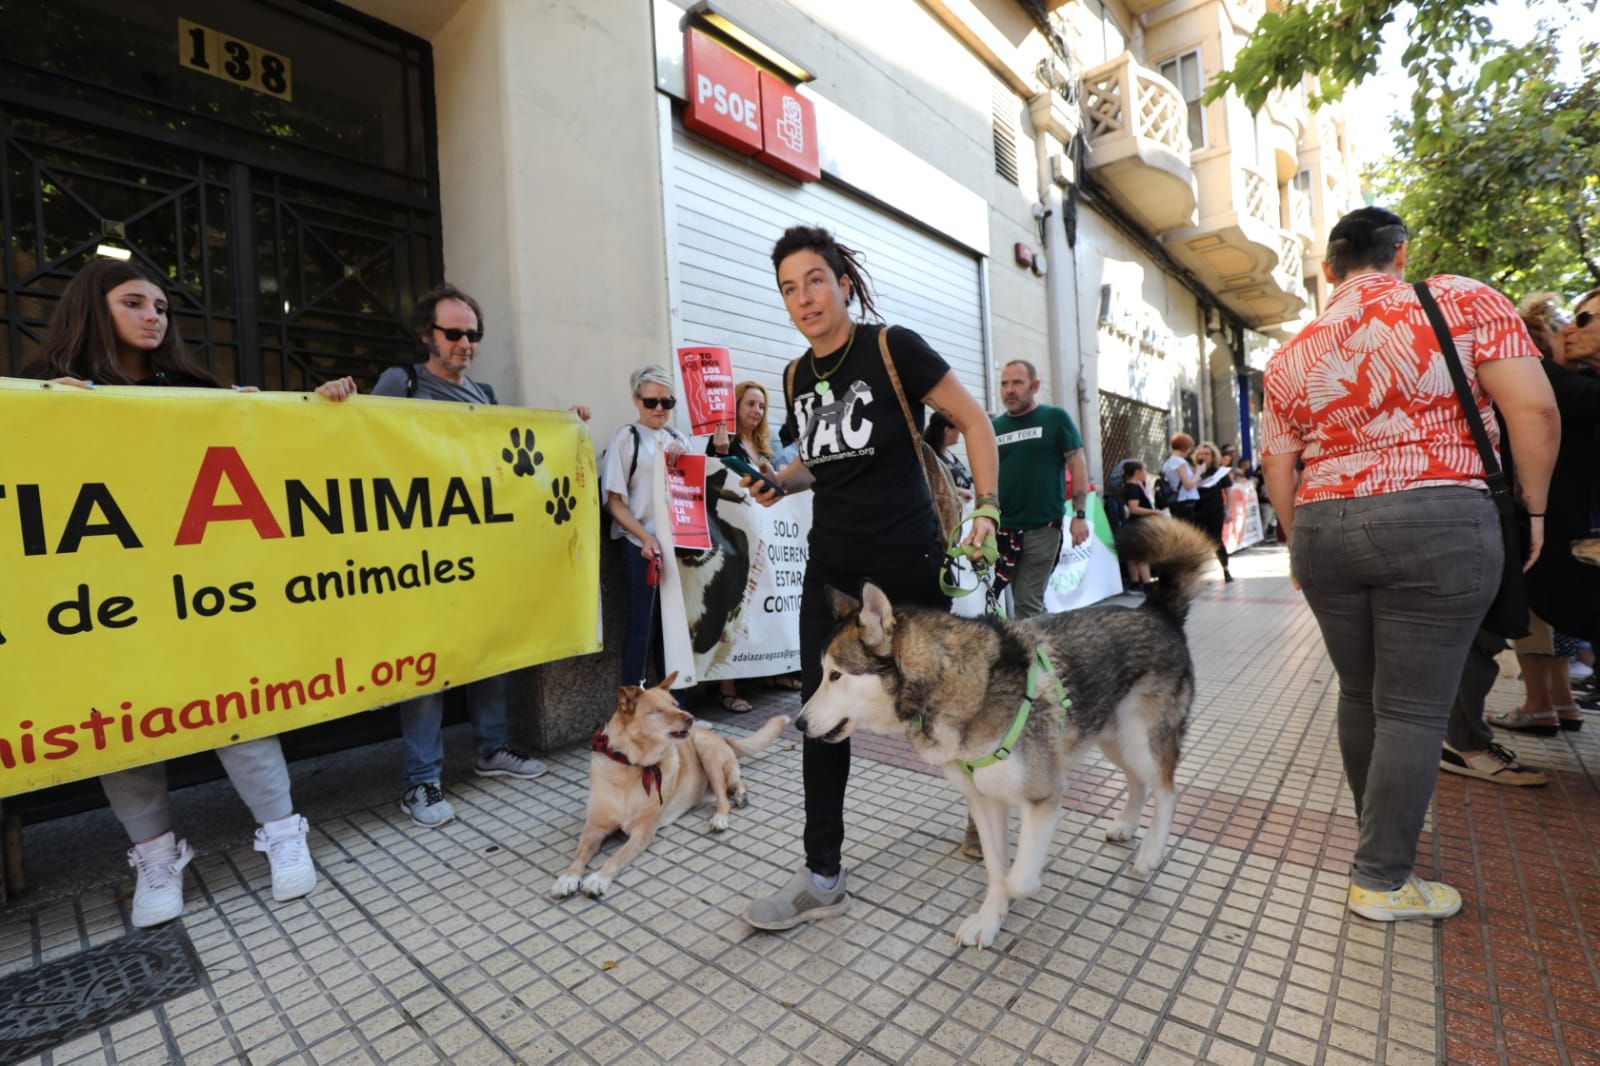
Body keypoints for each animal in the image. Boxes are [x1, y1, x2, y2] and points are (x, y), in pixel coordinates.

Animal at [550, 672, 787, 896]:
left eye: (675, 704)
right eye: (657, 711)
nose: (691, 718)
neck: (630, 767)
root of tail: (718, 736)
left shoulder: (642, 831)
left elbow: (617, 856)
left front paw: (598, 879)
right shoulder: (594, 827)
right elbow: (579, 854)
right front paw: (568, 878)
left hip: (707, 753)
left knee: (726, 794)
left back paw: (722, 815)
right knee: (737, 782)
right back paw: (740, 795)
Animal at [800, 518, 1209, 941]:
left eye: (836, 675)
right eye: (822, 674)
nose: (799, 723)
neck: (961, 685)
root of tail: (1156, 610)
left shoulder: (1042, 796)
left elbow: (1018, 879)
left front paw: (1015, 896)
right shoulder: (984, 801)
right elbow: (996, 870)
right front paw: (989, 920)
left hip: (1140, 740)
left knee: (1168, 791)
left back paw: (1150, 854)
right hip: (1114, 738)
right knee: (1138, 782)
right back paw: (1127, 826)